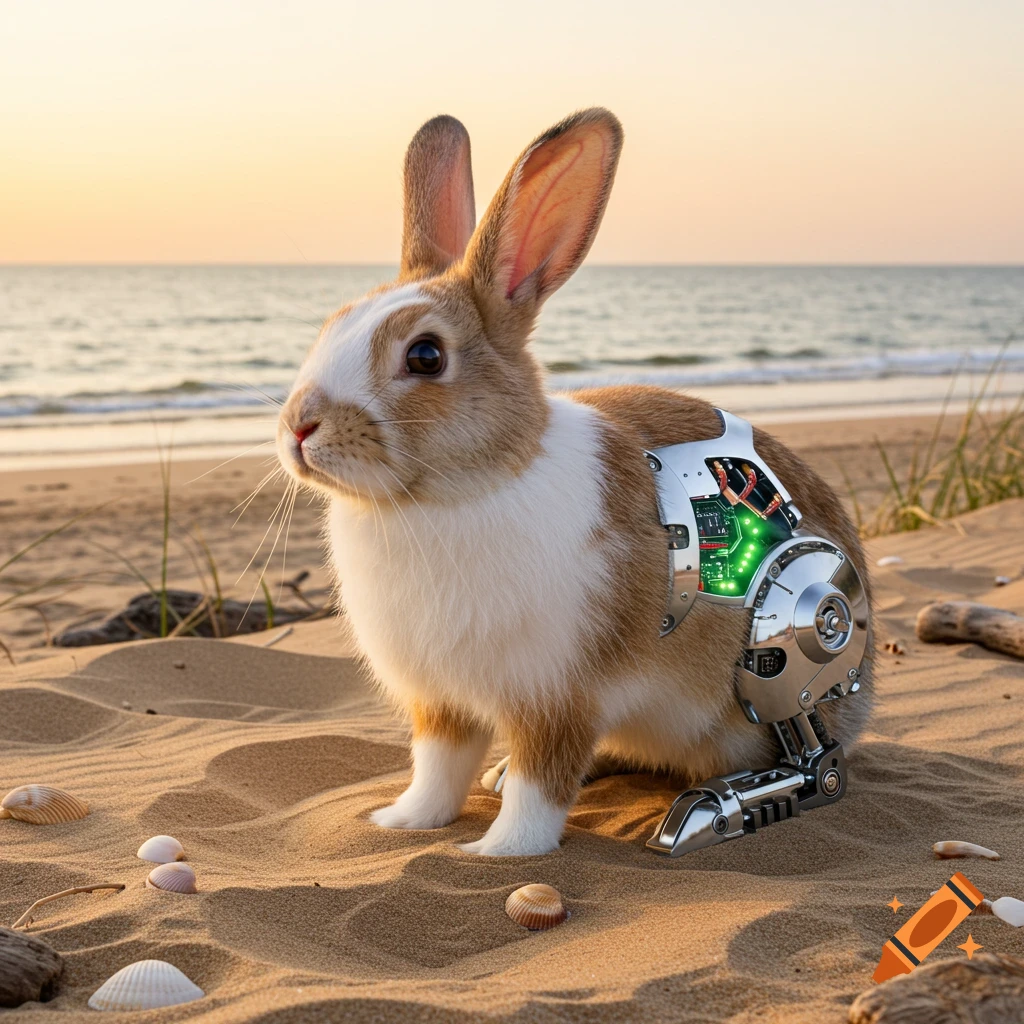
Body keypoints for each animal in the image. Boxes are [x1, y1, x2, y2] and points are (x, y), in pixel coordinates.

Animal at [276, 108, 874, 856]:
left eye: (425, 355)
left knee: (813, 759)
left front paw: (498, 852)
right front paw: (403, 822)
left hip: (781, 658)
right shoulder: (440, 702)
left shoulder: (558, 696)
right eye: (332, 326)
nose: (298, 427)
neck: (454, 493)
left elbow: (542, 782)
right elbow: (438, 767)